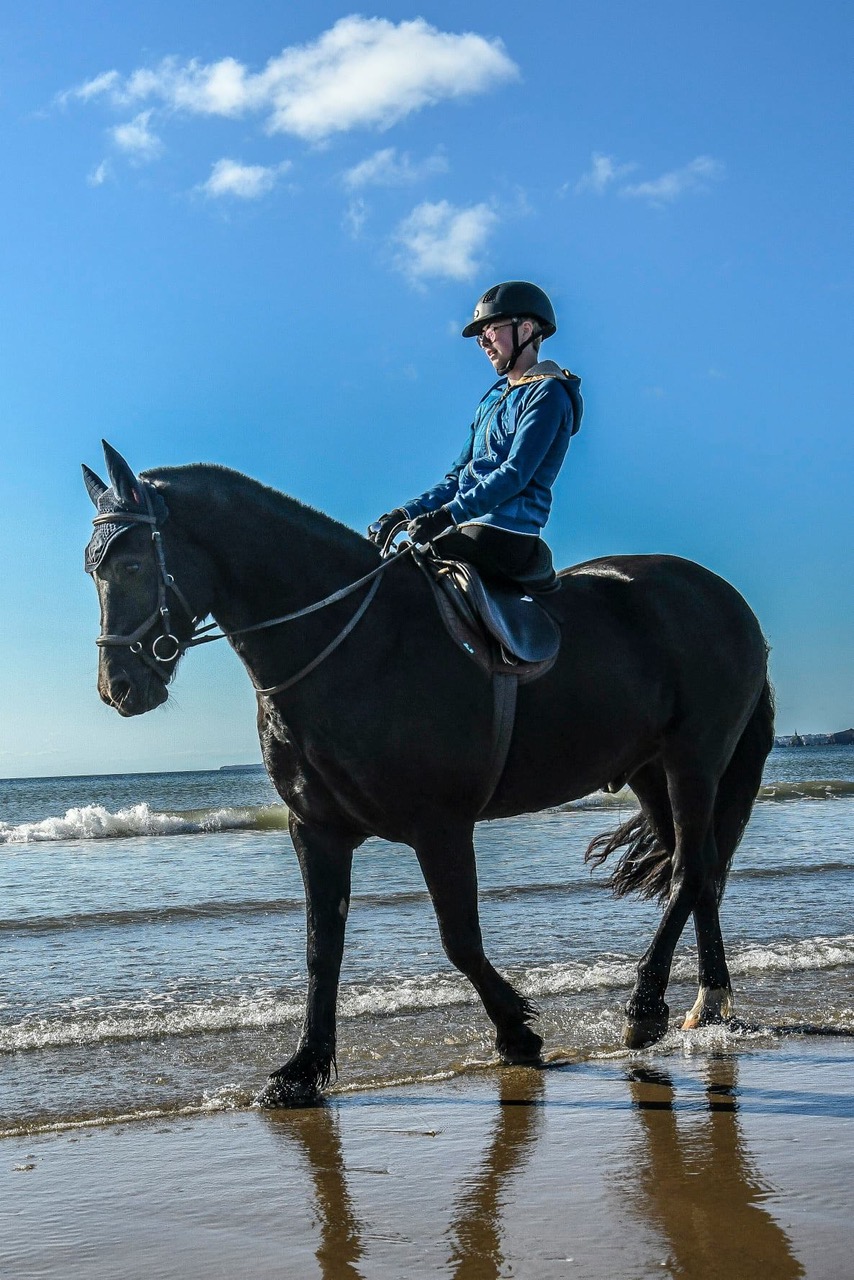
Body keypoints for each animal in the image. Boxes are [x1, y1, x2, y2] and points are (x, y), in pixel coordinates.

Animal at [81, 445, 773, 1105]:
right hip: (650, 771)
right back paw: (710, 1005)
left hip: (693, 760)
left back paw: (645, 1007)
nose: (119, 688)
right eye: (94, 570)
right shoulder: (317, 830)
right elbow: (321, 949)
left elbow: (458, 938)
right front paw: (304, 1069)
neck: (353, 643)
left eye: (134, 565)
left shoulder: (439, 825)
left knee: (690, 870)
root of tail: (727, 599)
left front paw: (517, 1034)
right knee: (702, 871)